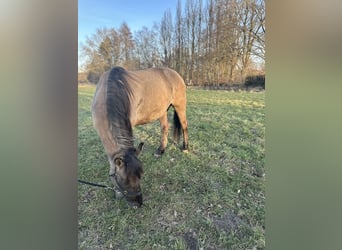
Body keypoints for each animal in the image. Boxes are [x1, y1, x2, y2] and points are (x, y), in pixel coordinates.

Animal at [92, 66, 188, 207]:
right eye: (125, 180)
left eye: (141, 175)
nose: (138, 204)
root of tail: (175, 73)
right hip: (162, 111)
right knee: (164, 128)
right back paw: (160, 150)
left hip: (180, 106)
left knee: (185, 126)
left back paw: (185, 148)